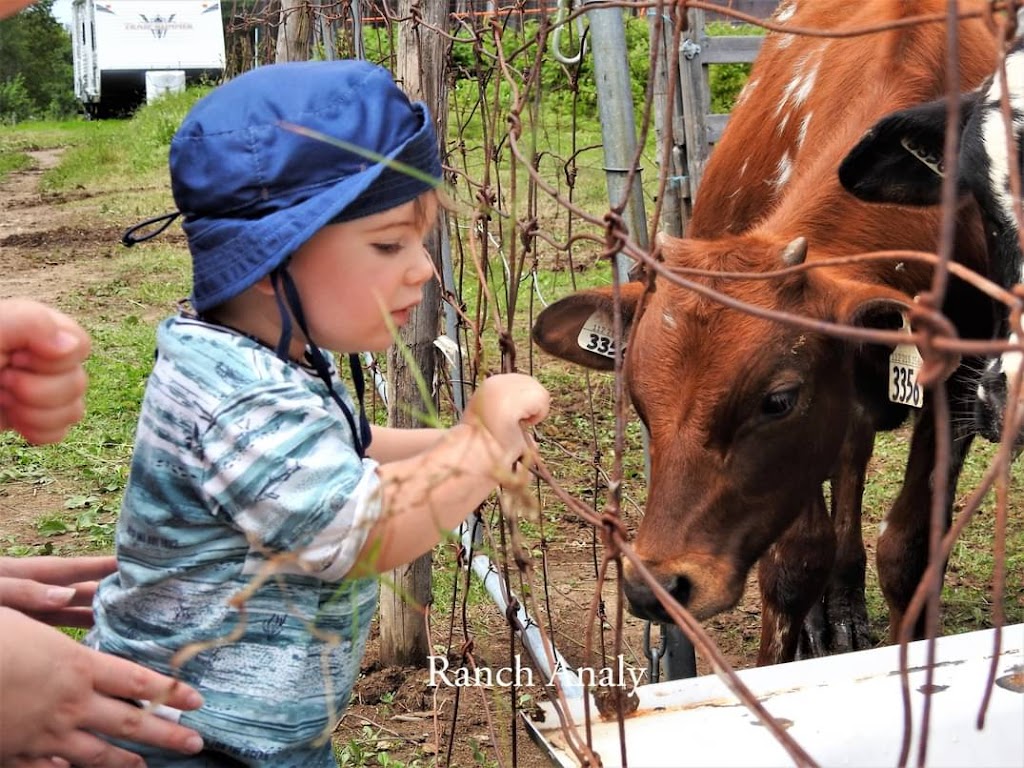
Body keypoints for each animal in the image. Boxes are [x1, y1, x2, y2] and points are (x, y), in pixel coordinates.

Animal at [532, 0, 995, 663]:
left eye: (777, 401)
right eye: (638, 401)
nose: (658, 587)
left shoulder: (957, 390)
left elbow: (908, 552)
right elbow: (795, 562)